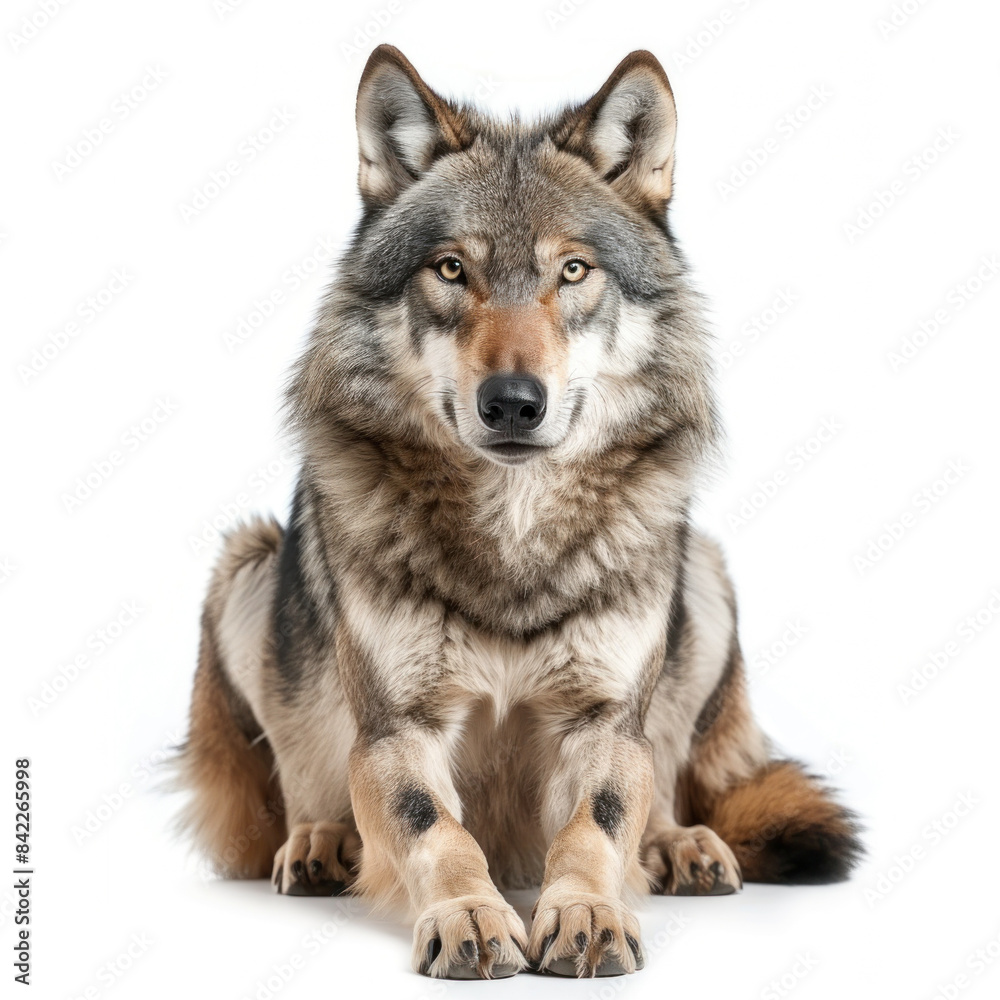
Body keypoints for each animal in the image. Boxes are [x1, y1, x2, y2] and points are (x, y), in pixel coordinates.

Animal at [177, 45, 861, 979]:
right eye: (450, 269)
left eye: (571, 270)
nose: (511, 402)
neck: (514, 535)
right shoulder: (397, 726)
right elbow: (434, 826)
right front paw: (468, 914)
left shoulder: (603, 721)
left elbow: (598, 823)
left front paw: (589, 913)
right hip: (246, 570)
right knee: (303, 782)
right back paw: (321, 841)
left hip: (705, 575)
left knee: (666, 779)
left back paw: (679, 844)